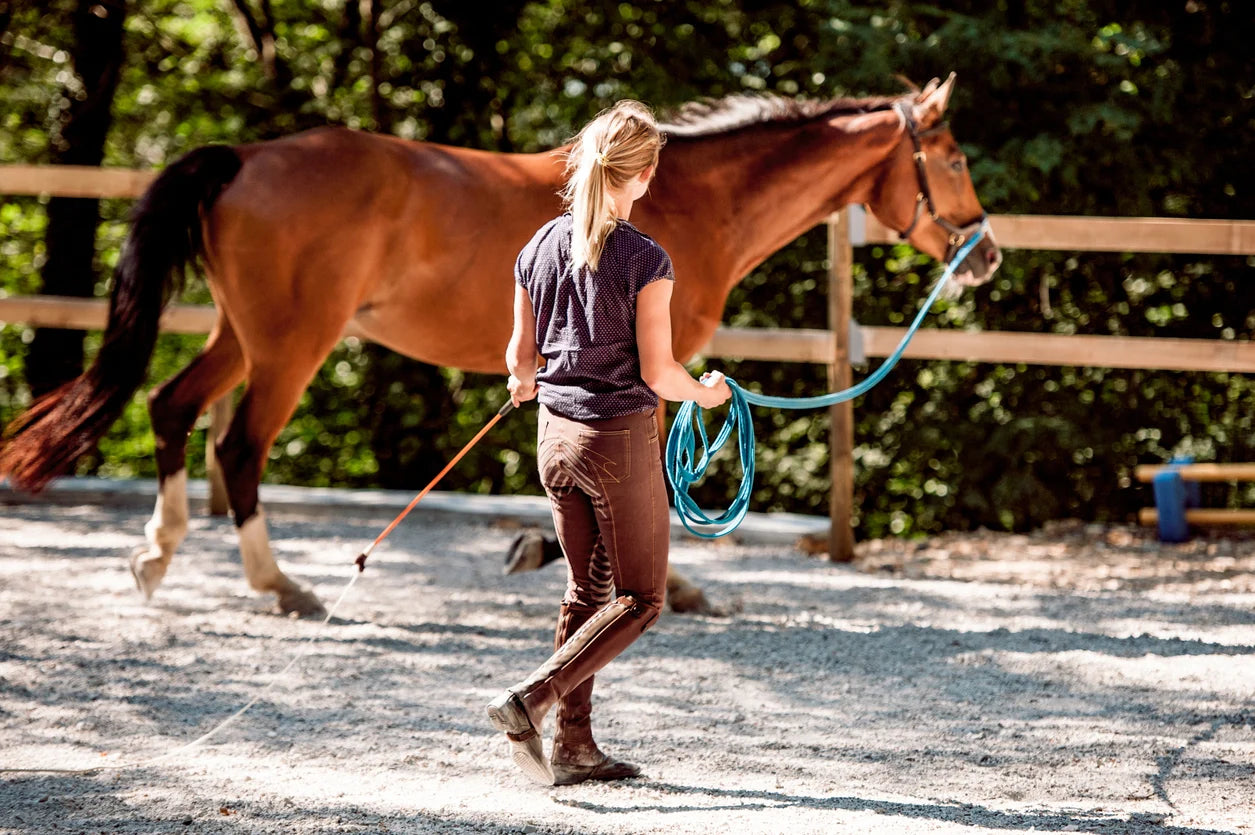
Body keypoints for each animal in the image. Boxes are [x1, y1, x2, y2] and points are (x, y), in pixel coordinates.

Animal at [0, 74, 1001, 615]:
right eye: (952, 159)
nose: (985, 253)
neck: (688, 197)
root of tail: (245, 157)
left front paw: (546, 548)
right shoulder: (655, 362)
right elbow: (643, 471)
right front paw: (663, 583)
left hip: (240, 334)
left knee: (172, 407)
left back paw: (157, 556)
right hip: (290, 344)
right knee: (238, 445)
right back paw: (279, 583)